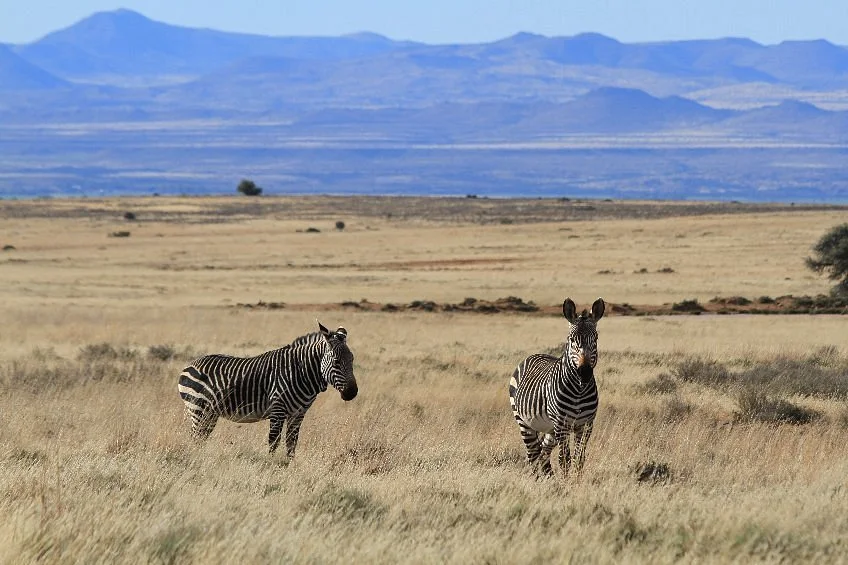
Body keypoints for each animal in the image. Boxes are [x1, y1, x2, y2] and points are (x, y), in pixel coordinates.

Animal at [177, 322, 358, 456]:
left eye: (352, 360)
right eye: (336, 362)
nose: (352, 393)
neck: (301, 372)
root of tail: (190, 364)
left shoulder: (298, 414)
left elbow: (291, 444)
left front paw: (288, 468)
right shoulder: (278, 409)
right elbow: (273, 442)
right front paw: (271, 467)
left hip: (210, 413)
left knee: (201, 437)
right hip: (198, 408)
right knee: (196, 437)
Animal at [509, 298, 605, 476]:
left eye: (595, 339)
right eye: (571, 339)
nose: (585, 373)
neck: (579, 391)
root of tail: (535, 355)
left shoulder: (586, 425)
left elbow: (579, 459)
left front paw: (576, 481)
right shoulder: (562, 424)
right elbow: (565, 460)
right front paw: (566, 482)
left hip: (550, 429)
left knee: (543, 452)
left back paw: (549, 478)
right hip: (524, 422)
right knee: (533, 454)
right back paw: (537, 479)